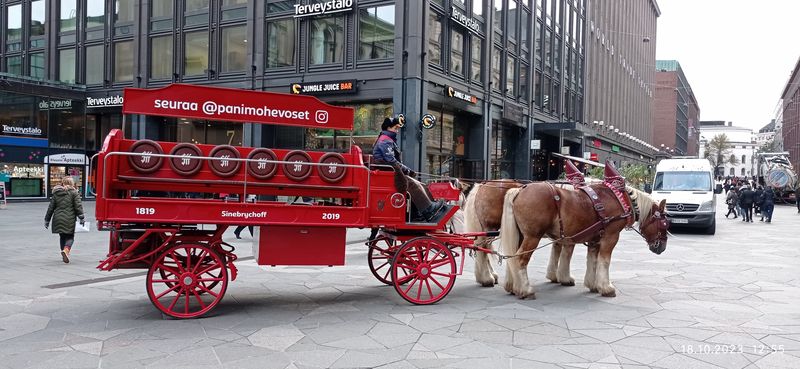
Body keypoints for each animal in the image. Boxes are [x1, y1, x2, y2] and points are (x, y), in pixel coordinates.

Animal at [500, 181, 668, 300]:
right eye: (665, 224)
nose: (662, 247)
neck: (621, 200)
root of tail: (520, 189)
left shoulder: (595, 240)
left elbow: (593, 261)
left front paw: (593, 285)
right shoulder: (610, 237)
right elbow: (604, 261)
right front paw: (607, 288)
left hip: (521, 235)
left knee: (512, 257)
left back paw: (512, 287)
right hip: (533, 236)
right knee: (520, 259)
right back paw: (525, 290)